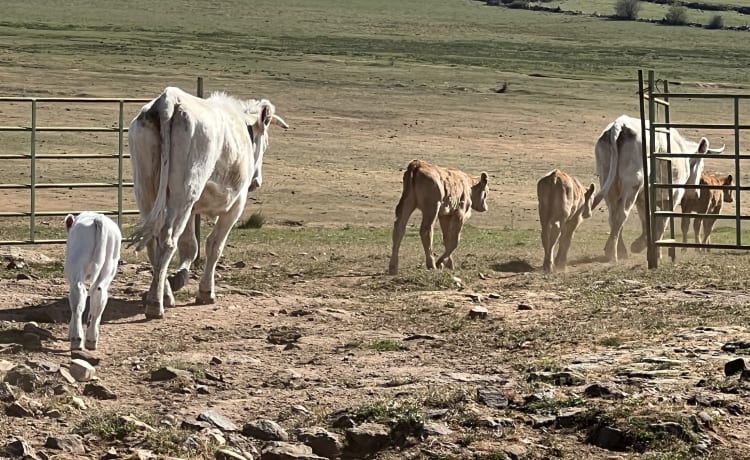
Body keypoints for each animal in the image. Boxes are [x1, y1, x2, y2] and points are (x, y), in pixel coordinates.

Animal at [64, 213, 122, 352]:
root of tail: (98, 218)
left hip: (76, 264)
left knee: (78, 295)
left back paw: (76, 338)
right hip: (109, 267)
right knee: (99, 294)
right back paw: (91, 339)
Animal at [129, 86, 288, 318]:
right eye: (265, 143)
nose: (256, 182)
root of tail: (170, 98)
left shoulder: (192, 210)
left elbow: (189, 246)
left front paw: (180, 277)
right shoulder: (235, 206)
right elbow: (214, 245)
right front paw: (206, 291)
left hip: (146, 189)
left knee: (153, 243)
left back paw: (165, 294)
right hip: (184, 192)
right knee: (168, 241)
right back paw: (156, 303)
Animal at [596, 114, 724, 262]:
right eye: (702, 166)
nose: (696, 194)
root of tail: (620, 124)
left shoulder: (644, 197)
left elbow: (647, 220)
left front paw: (640, 244)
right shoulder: (673, 196)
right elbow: (662, 223)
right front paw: (656, 253)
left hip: (607, 180)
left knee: (613, 216)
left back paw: (620, 250)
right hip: (632, 184)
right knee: (621, 214)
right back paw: (613, 253)